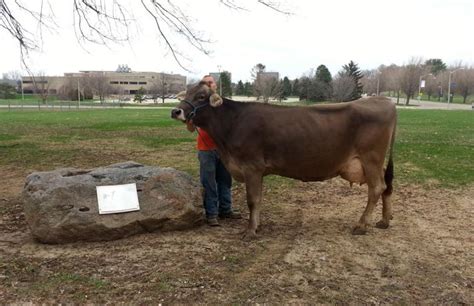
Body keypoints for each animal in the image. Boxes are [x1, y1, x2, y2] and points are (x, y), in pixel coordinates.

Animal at [170, 82, 396, 240]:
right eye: (186, 93)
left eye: (200, 96)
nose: (175, 111)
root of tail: (384, 100)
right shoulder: (255, 170)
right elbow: (259, 199)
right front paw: (257, 226)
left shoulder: (252, 167)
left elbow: (253, 200)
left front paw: (250, 231)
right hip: (372, 162)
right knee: (385, 186)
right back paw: (384, 221)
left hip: (371, 158)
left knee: (376, 188)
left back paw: (361, 225)